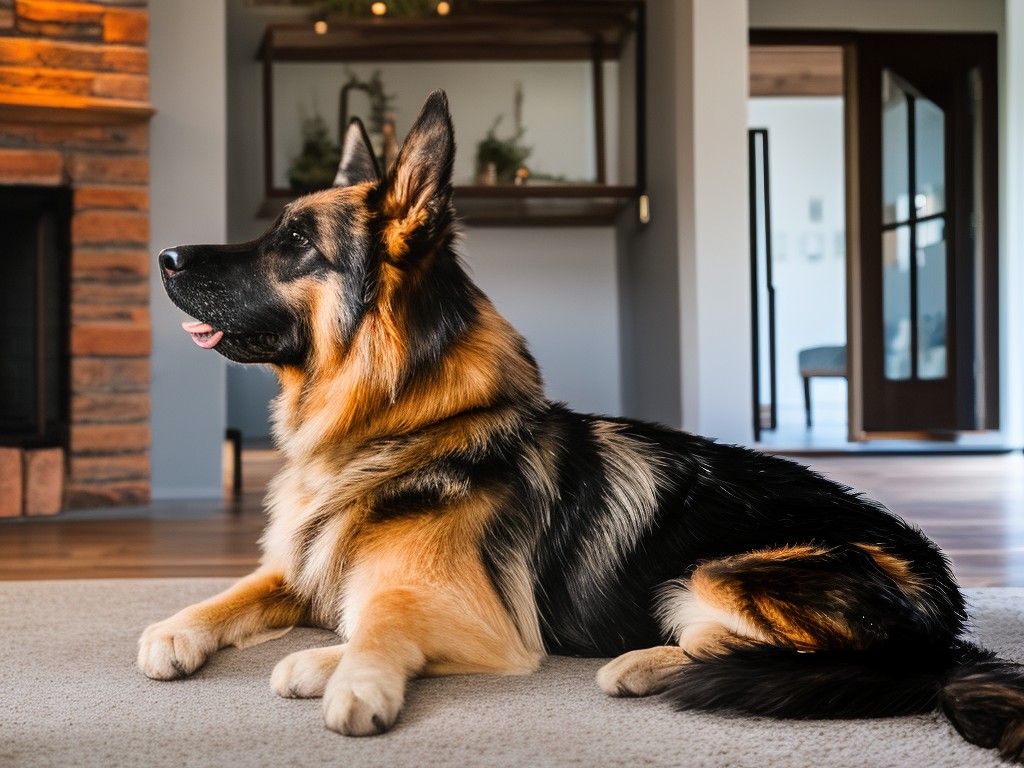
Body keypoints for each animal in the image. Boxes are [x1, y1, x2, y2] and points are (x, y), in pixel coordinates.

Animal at [142, 90, 1024, 757]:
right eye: (276, 230)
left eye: (293, 244)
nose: (166, 258)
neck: (404, 422)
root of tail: (944, 620)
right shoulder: (300, 567)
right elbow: (237, 589)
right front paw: (178, 630)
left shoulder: (476, 621)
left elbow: (382, 625)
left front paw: (347, 674)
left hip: (716, 574)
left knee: (735, 647)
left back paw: (638, 666)